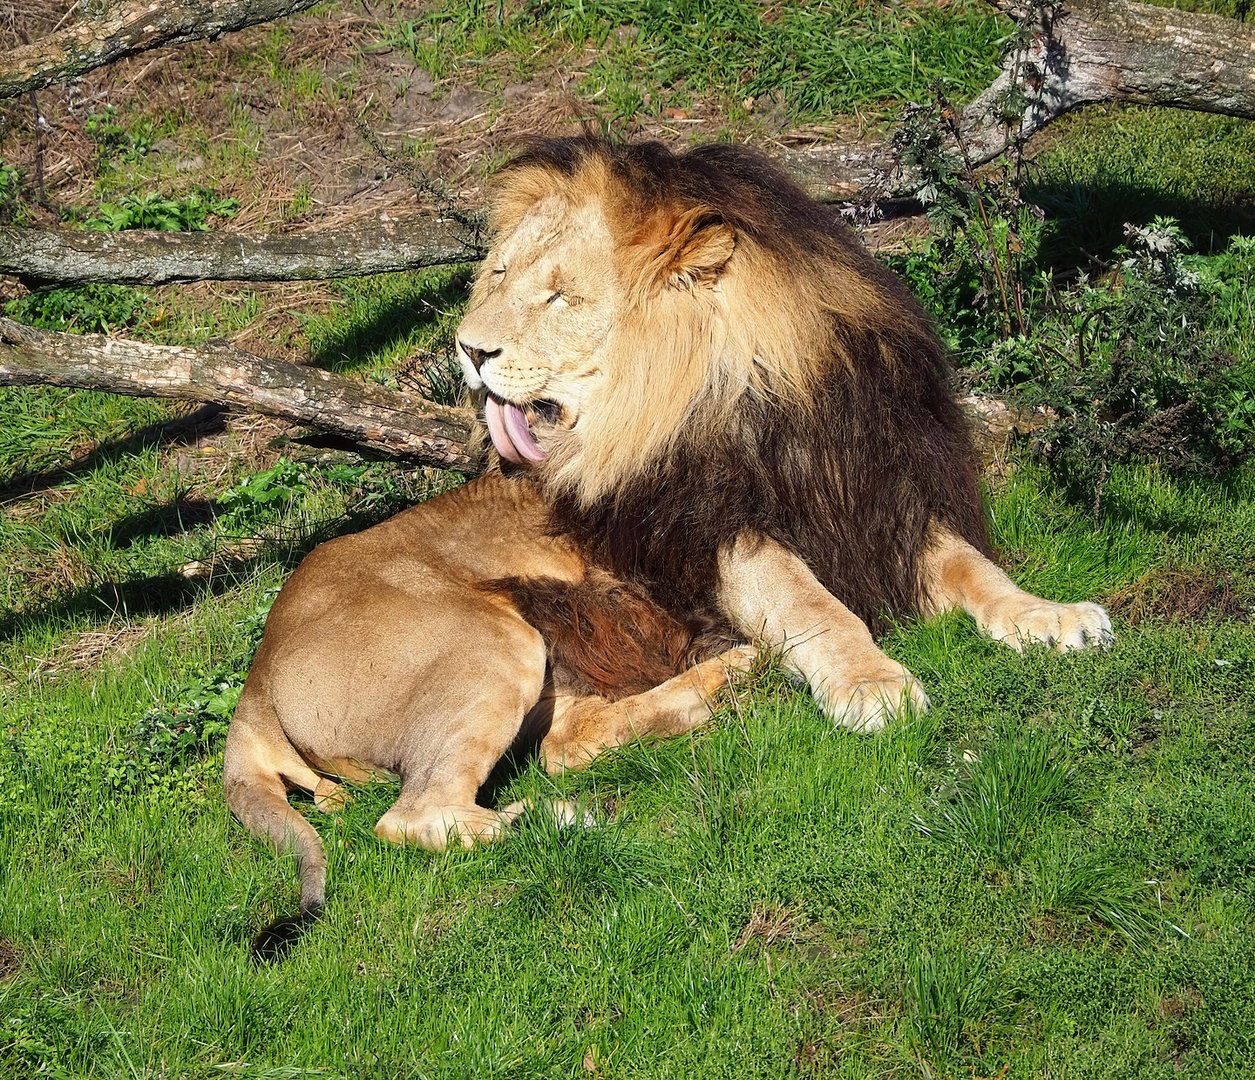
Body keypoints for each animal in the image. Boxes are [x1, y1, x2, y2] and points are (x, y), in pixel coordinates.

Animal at [223, 136, 1112, 916]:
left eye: (558, 295)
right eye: (499, 275)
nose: (467, 351)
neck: (756, 388)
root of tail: (254, 685)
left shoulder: (875, 502)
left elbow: (975, 572)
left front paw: (1053, 618)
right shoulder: (718, 535)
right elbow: (816, 608)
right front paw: (871, 684)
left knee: (566, 744)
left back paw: (724, 681)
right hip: (489, 638)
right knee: (420, 815)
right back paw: (560, 820)